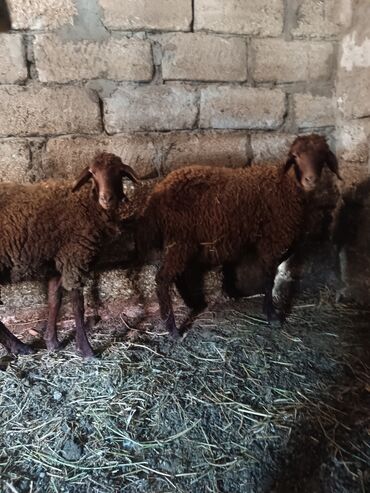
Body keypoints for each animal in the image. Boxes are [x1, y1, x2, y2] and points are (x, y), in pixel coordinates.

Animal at [0, 152, 139, 356]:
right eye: (92, 173)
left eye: (119, 172)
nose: (106, 198)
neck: (89, 204)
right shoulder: (75, 259)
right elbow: (77, 305)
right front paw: (86, 349)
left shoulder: (58, 262)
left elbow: (54, 300)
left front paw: (52, 342)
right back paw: (19, 346)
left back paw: (18, 346)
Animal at [136, 133, 342, 336]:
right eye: (296, 156)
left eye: (322, 156)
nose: (310, 180)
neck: (287, 184)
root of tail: (157, 192)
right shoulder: (272, 240)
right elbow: (269, 278)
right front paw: (271, 315)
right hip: (180, 239)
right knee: (163, 279)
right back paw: (173, 329)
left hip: (183, 242)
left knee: (177, 275)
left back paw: (192, 305)